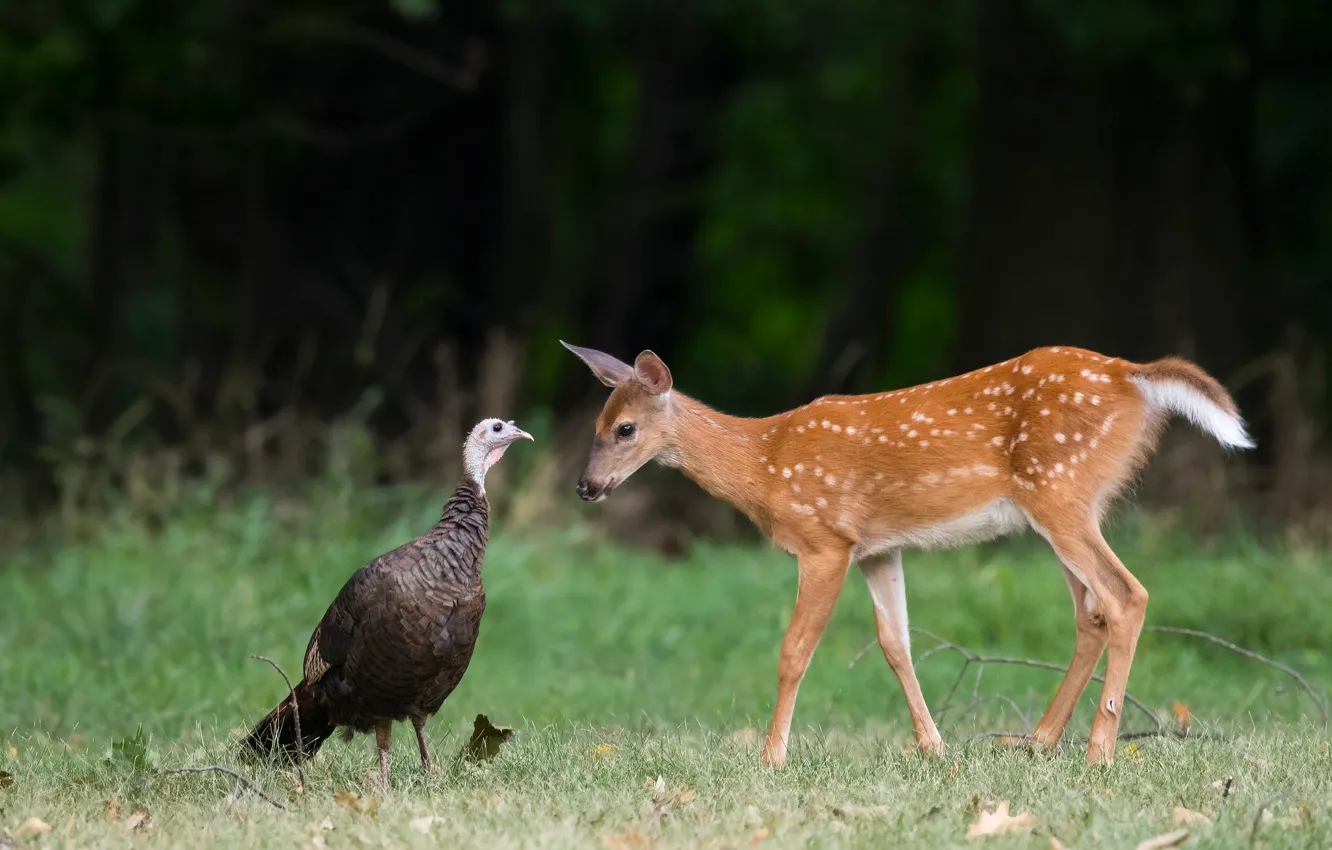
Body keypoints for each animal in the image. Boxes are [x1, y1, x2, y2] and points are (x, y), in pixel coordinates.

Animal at [562, 341, 1255, 768]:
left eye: (625, 428)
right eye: (596, 425)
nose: (586, 488)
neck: (764, 464)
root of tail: (1129, 373)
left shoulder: (825, 539)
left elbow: (795, 650)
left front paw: (771, 757)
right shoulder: (878, 548)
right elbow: (896, 644)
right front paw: (934, 748)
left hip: (1061, 491)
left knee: (1126, 595)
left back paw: (1098, 752)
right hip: (1071, 504)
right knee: (1092, 612)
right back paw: (1036, 744)